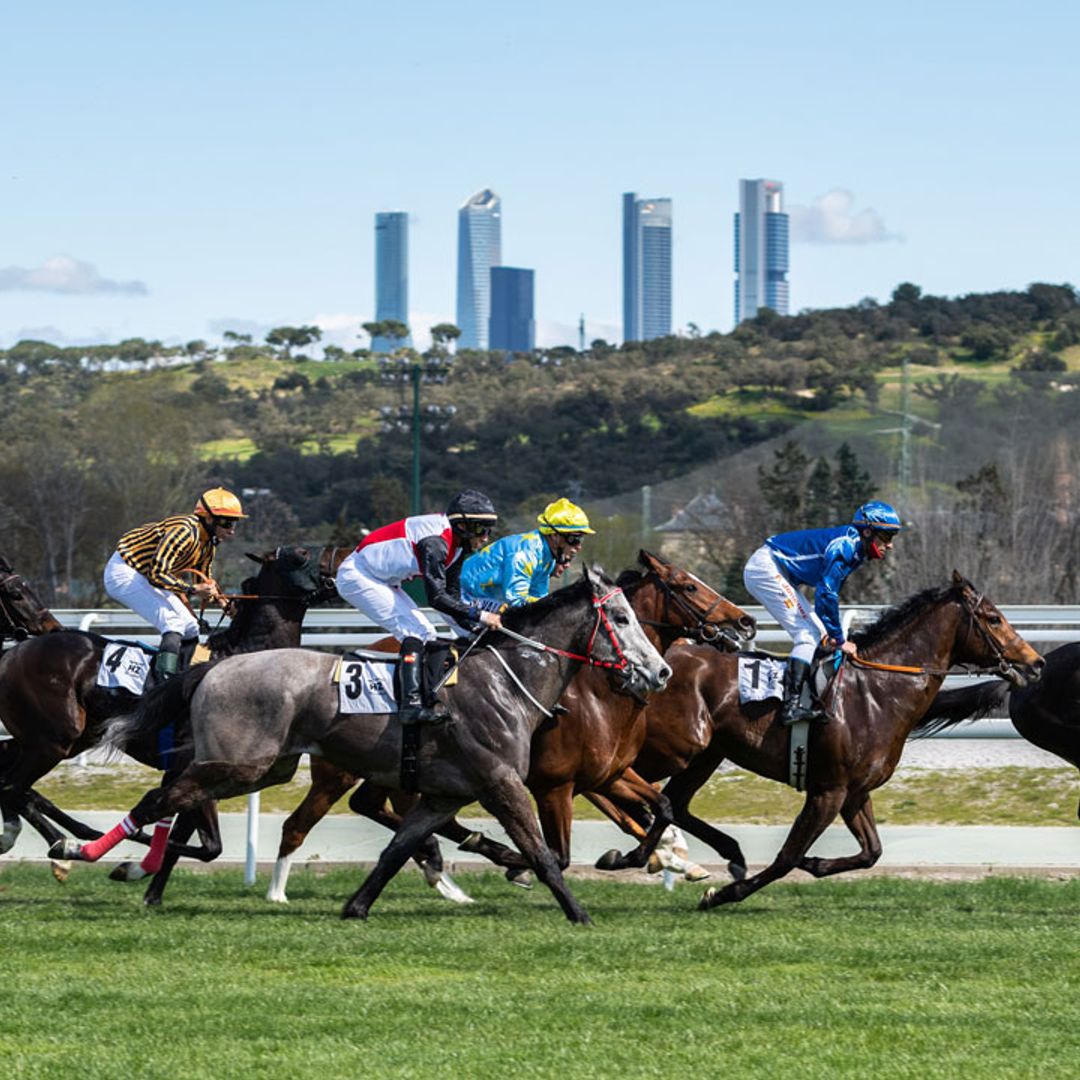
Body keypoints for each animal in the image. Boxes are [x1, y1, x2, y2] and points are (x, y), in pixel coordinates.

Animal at [0, 544, 330, 898]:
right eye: (299, 555)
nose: (333, 574)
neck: (244, 661)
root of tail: (12, 653)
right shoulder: (193, 766)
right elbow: (196, 840)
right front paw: (135, 867)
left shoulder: (197, 773)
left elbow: (199, 843)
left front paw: (147, 884)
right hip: (54, 740)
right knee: (13, 787)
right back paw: (61, 844)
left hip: (63, 738)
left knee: (14, 783)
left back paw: (59, 844)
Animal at [59, 565, 669, 928]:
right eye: (620, 617)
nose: (660, 672)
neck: (506, 680)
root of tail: (215, 667)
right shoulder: (501, 784)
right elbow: (543, 855)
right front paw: (579, 913)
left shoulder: (445, 795)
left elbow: (398, 849)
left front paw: (356, 905)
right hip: (244, 762)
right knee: (162, 799)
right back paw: (82, 853)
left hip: (263, 767)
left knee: (183, 802)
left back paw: (139, 877)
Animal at [264, 548, 756, 902]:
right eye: (687, 585)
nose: (746, 621)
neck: (597, 691)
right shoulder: (557, 784)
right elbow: (563, 851)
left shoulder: (609, 773)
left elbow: (661, 809)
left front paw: (659, 857)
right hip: (341, 771)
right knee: (303, 823)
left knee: (377, 806)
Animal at [596, 570, 1041, 907]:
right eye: (993, 618)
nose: (1035, 664)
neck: (877, 692)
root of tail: (654, 660)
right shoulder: (828, 790)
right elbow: (787, 856)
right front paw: (723, 895)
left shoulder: (855, 792)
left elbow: (871, 852)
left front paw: (816, 864)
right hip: (669, 748)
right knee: (623, 786)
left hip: (704, 754)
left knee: (672, 802)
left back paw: (661, 854)